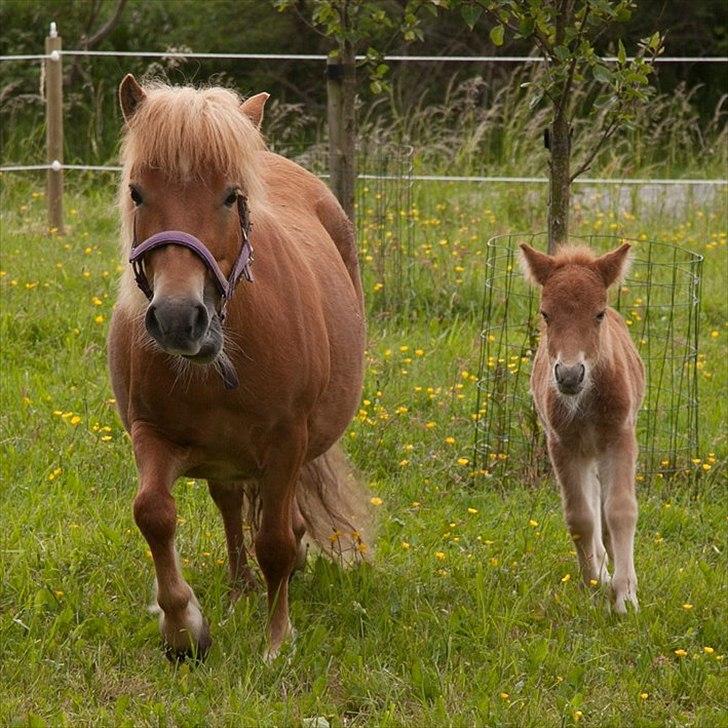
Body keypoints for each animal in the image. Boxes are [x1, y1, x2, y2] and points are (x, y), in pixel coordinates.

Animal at [107, 77, 372, 664]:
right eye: (137, 192)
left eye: (231, 196)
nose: (178, 319)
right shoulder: (151, 433)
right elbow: (152, 513)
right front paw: (183, 628)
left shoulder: (287, 442)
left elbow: (274, 540)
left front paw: (276, 642)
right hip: (222, 457)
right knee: (229, 506)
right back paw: (238, 589)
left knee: (279, 522)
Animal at [520, 245, 644, 616]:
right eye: (545, 314)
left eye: (599, 314)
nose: (570, 375)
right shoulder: (562, 444)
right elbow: (579, 517)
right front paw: (594, 583)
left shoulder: (620, 437)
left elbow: (620, 510)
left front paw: (625, 596)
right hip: (585, 452)